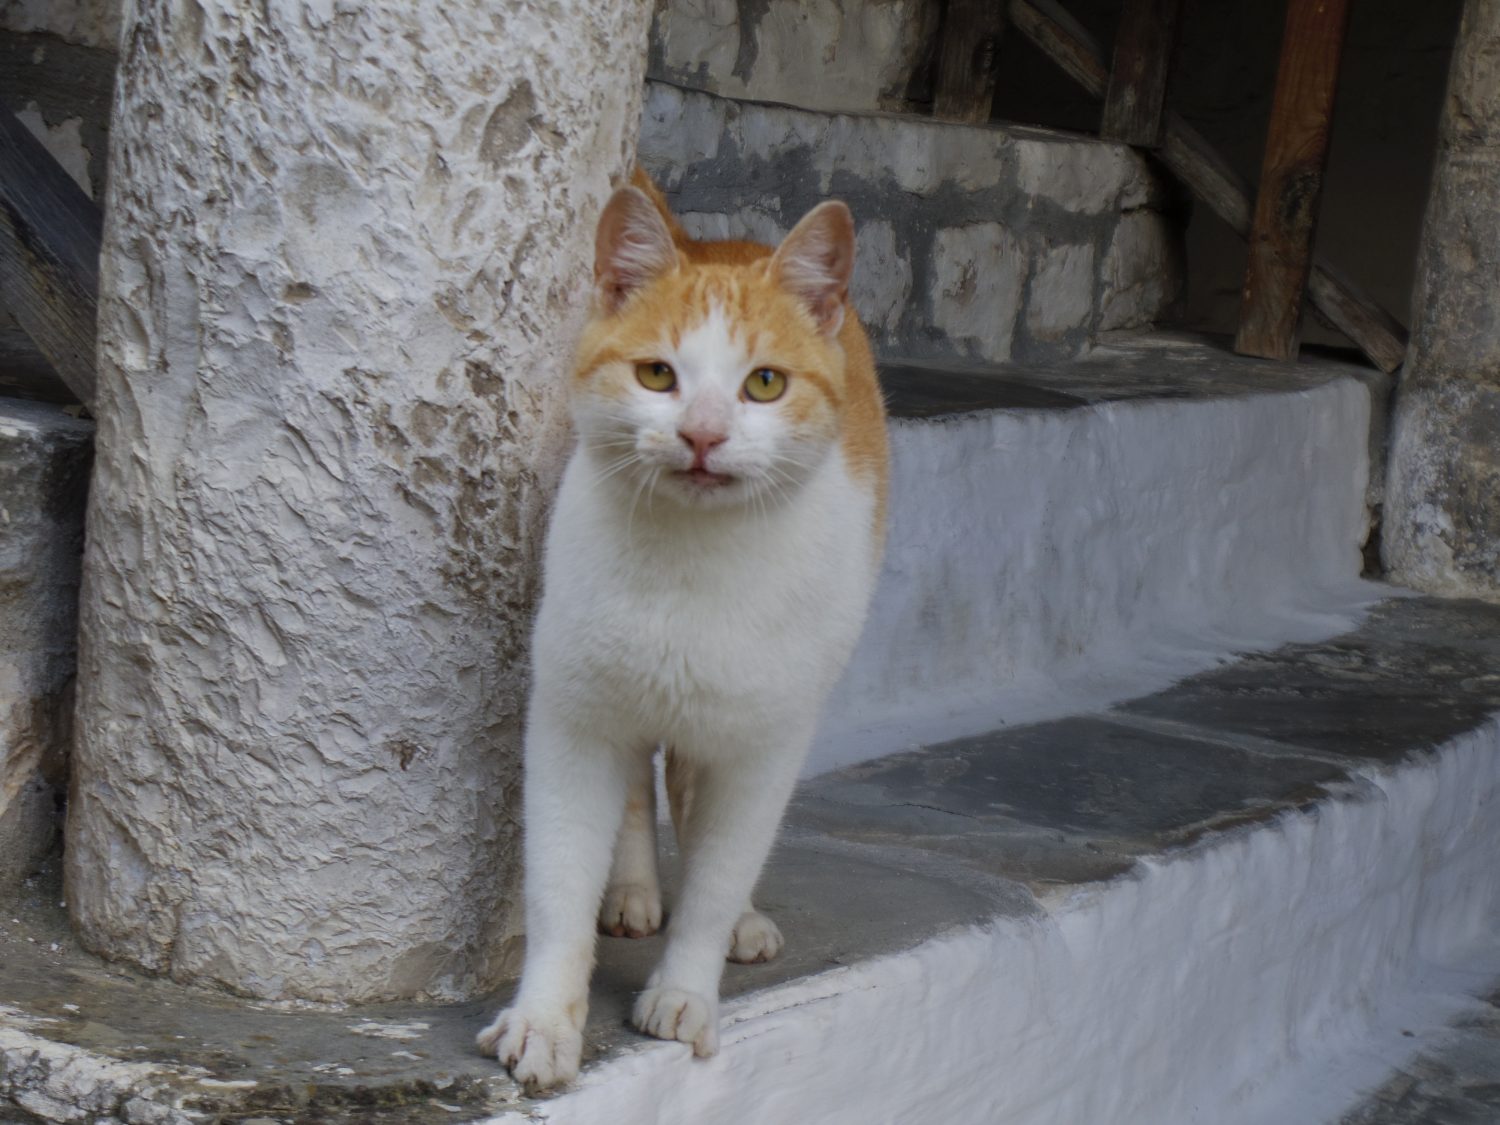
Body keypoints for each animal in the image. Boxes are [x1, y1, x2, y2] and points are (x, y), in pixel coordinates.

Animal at [474, 171, 882, 1098]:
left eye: (764, 384)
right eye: (658, 374)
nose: (701, 433)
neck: (689, 568)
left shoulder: (763, 745)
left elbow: (721, 866)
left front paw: (688, 987)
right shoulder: (574, 717)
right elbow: (559, 878)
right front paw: (546, 1018)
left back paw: (736, 921)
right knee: (637, 788)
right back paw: (630, 888)